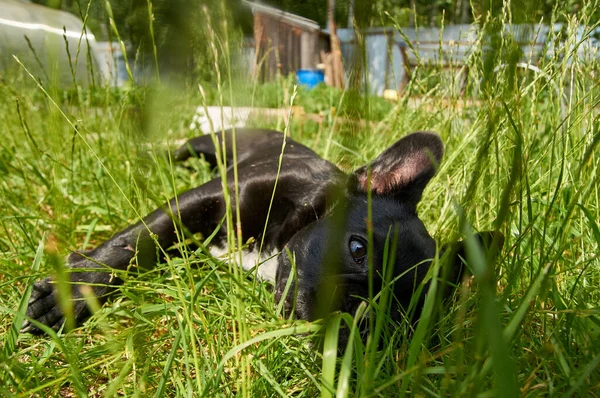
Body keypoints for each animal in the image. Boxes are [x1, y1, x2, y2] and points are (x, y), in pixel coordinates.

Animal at [21, 129, 494, 334]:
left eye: (402, 314)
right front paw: (72, 293)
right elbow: (134, 241)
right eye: (357, 248)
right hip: (203, 146)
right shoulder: (205, 197)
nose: (359, 311)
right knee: (174, 152)